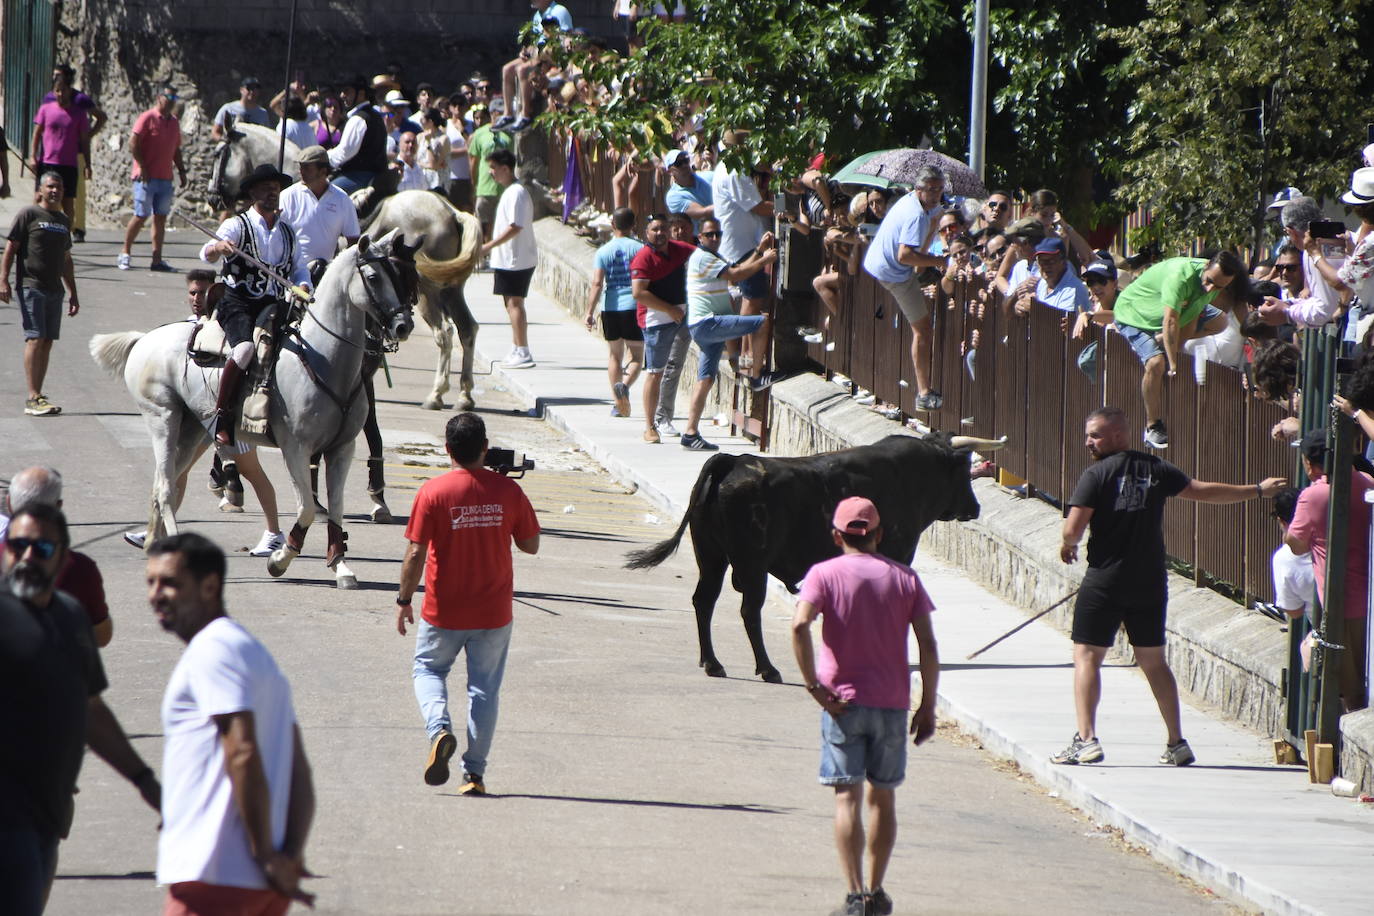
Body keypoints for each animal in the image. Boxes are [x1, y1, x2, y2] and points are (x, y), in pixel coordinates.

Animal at [89, 230, 417, 587]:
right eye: (373, 277)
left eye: (399, 274)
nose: (403, 326)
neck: (324, 360)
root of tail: (145, 338)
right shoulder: (296, 449)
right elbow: (306, 509)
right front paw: (279, 559)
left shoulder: (341, 449)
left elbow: (337, 509)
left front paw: (341, 566)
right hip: (163, 418)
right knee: (164, 487)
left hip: (192, 430)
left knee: (168, 481)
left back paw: (151, 542)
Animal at [623, 433, 1000, 683]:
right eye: (964, 470)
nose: (975, 507)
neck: (911, 475)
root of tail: (734, 460)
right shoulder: (898, 555)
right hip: (752, 563)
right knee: (749, 610)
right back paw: (767, 668)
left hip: (711, 556)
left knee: (704, 600)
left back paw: (712, 663)